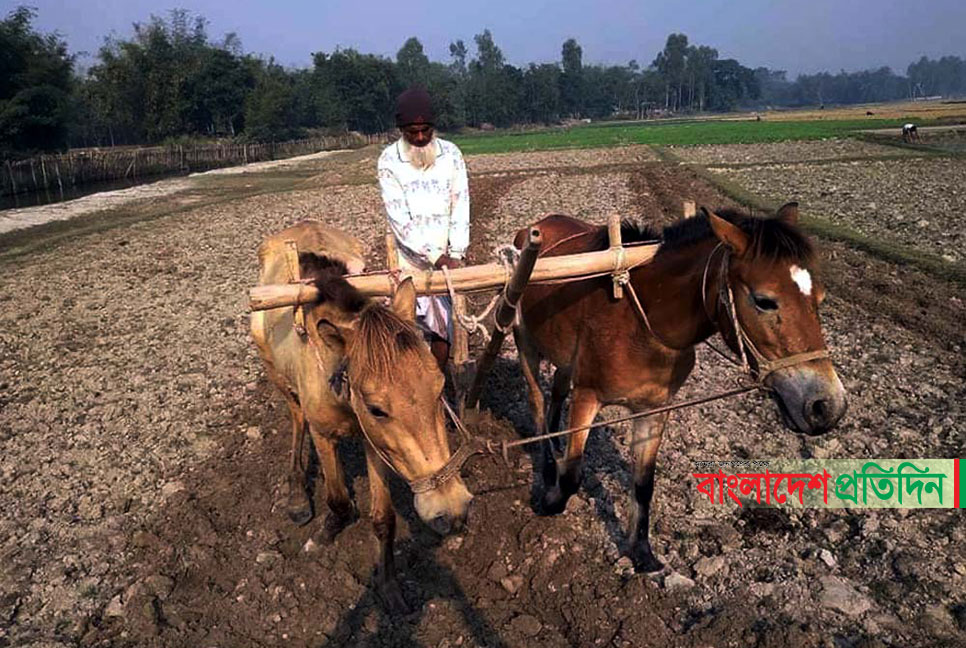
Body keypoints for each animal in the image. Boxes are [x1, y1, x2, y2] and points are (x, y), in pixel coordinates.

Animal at [251, 220, 474, 612]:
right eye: (377, 408)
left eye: (439, 387)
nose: (453, 509)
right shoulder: (324, 434)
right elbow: (338, 498)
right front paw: (326, 532)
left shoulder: (377, 445)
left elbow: (384, 517)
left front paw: (389, 587)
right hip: (274, 372)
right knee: (296, 417)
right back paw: (296, 492)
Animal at [516, 202, 848, 572]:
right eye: (764, 300)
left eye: (819, 298)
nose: (827, 406)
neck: (640, 321)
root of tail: (539, 225)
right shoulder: (587, 396)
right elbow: (573, 474)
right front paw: (551, 503)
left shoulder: (654, 409)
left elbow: (643, 482)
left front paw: (642, 553)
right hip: (524, 341)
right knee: (538, 402)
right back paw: (547, 466)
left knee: (556, 395)